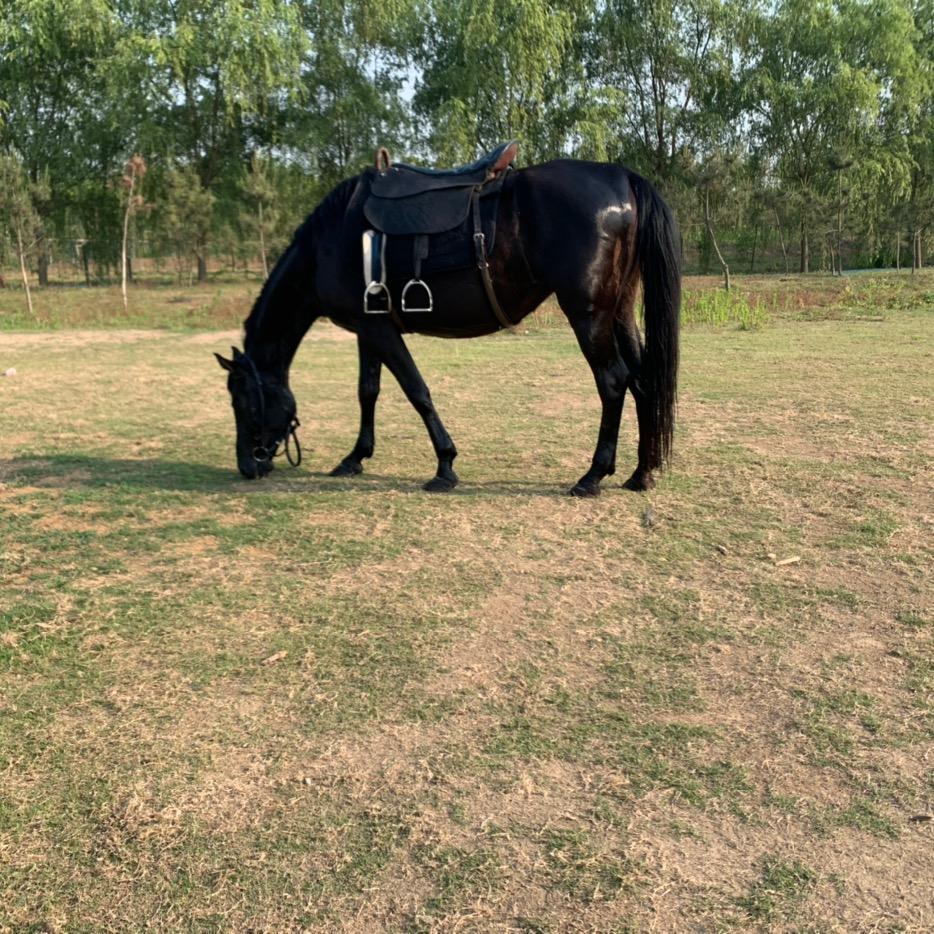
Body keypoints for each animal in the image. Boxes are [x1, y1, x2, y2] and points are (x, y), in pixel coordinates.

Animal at [215, 152, 680, 496]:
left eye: (243, 401)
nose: (248, 465)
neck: (332, 241)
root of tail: (620, 177)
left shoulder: (381, 332)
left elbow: (417, 391)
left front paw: (444, 466)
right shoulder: (369, 329)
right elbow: (368, 391)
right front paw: (355, 457)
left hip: (587, 313)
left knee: (613, 382)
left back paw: (592, 476)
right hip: (618, 310)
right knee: (643, 380)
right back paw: (640, 474)